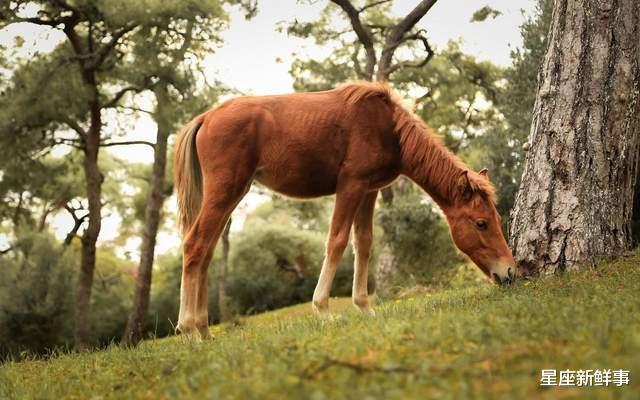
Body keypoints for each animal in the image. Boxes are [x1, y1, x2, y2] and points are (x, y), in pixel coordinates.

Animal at [174, 82, 516, 338]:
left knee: (205, 251)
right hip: (225, 193)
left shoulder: (368, 191)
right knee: (194, 245)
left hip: (230, 196)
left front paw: (364, 306)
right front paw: (323, 309)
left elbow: (363, 244)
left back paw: (203, 329)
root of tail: (206, 117)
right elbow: (336, 241)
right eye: (482, 223)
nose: (509, 272)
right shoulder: (351, 186)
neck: (388, 127)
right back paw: (189, 328)